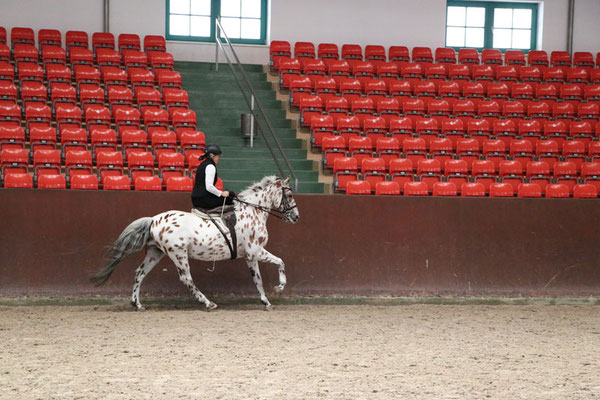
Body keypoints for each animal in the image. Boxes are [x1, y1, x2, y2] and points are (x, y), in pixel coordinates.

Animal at [91, 177, 300, 310]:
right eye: (289, 196)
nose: (296, 217)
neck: (252, 211)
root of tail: (154, 219)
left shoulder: (250, 256)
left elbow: (258, 279)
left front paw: (265, 301)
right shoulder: (256, 251)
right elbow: (280, 262)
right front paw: (280, 287)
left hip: (155, 253)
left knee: (140, 274)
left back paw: (138, 304)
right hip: (179, 254)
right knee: (186, 279)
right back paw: (208, 303)